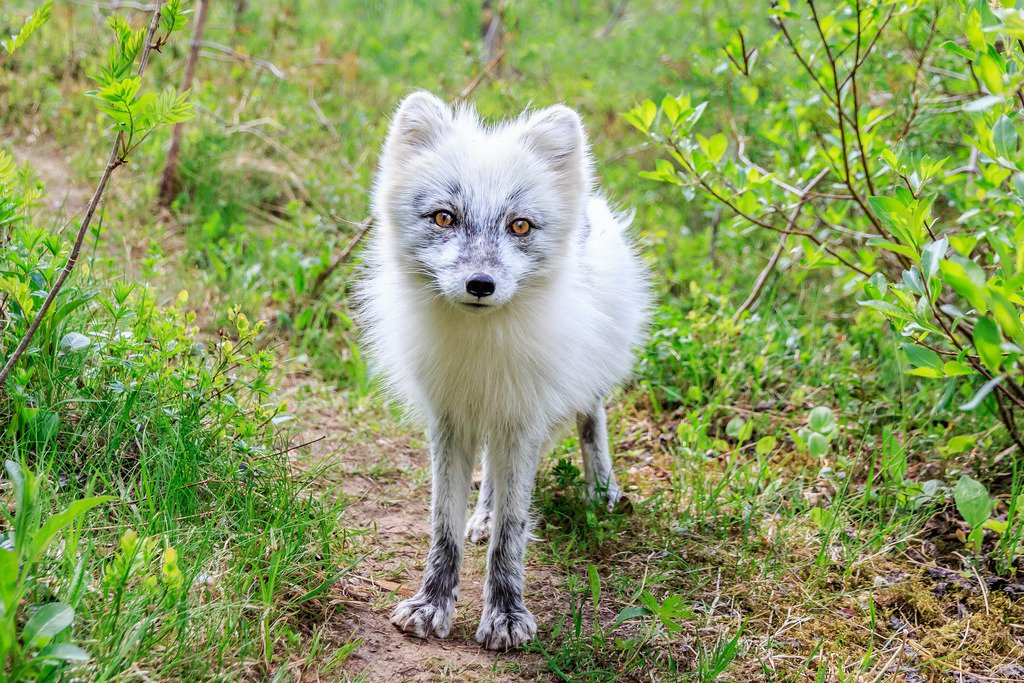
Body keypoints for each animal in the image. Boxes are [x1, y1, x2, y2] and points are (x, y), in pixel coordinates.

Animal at [360, 92, 647, 651]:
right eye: (444, 218)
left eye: (520, 226)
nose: (480, 284)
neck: (481, 350)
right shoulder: (451, 419)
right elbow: (443, 527)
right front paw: (432, 605)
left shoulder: (523, 417)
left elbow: (512, 534)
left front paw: (507, 615)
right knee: (492, 472)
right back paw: (484, 515)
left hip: (578, 381)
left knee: (591, 418)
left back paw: (600, 487)